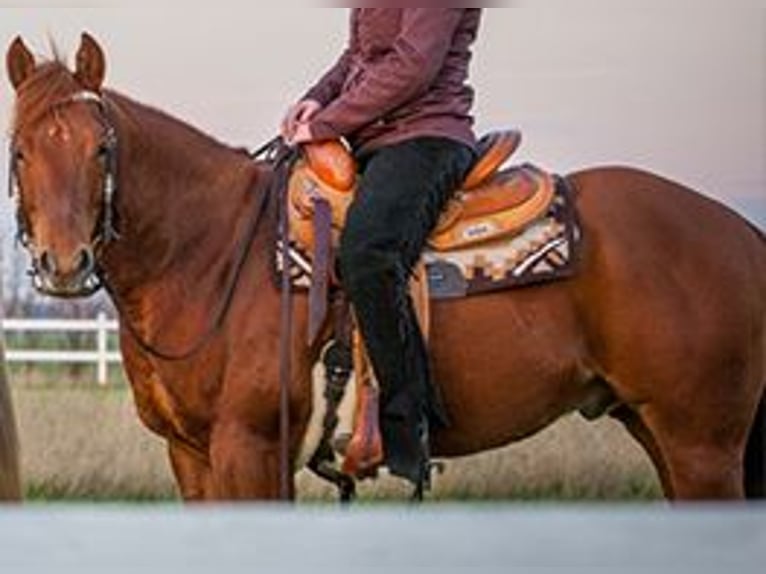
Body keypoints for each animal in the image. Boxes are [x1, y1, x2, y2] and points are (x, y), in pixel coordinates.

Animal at [7, 36, 766, 502]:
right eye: (18, 149)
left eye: (102, 149)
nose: (64, 263)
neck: (212, 251)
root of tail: (743, 231)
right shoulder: (190, 455)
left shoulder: (251, 447)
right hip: (659, 429)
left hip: (701, 443)